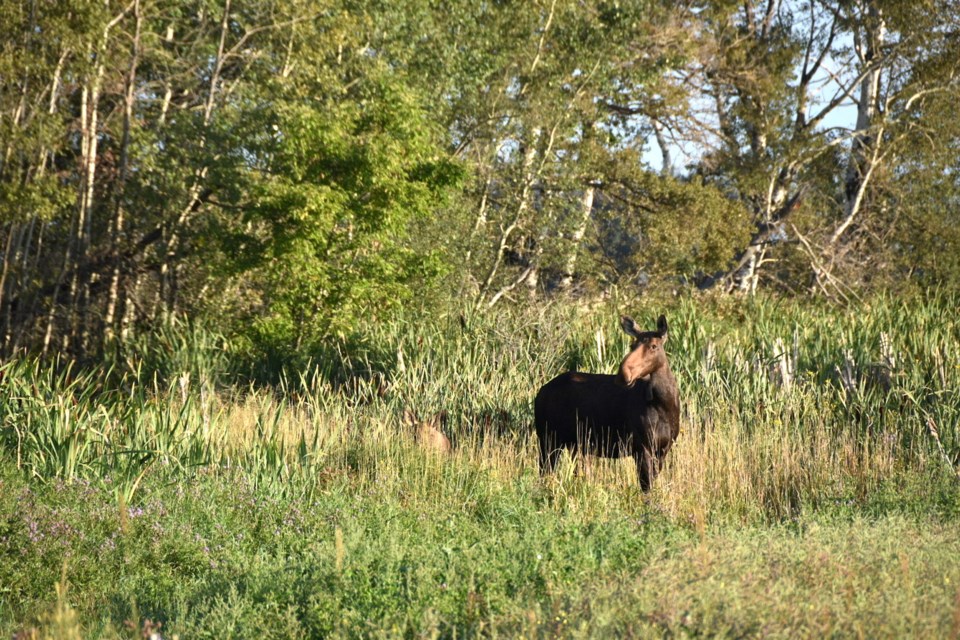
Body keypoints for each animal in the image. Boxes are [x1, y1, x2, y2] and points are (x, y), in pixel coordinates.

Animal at [532, 316, 684, 490]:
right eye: (633, 345)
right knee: (545, 472)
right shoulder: (641, 447)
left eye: (653, 346)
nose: (623, 373)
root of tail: (539, 393)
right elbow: (646, 487)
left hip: (574, 444)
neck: (665, 405)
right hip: (548, 438)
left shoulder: (663, 449)